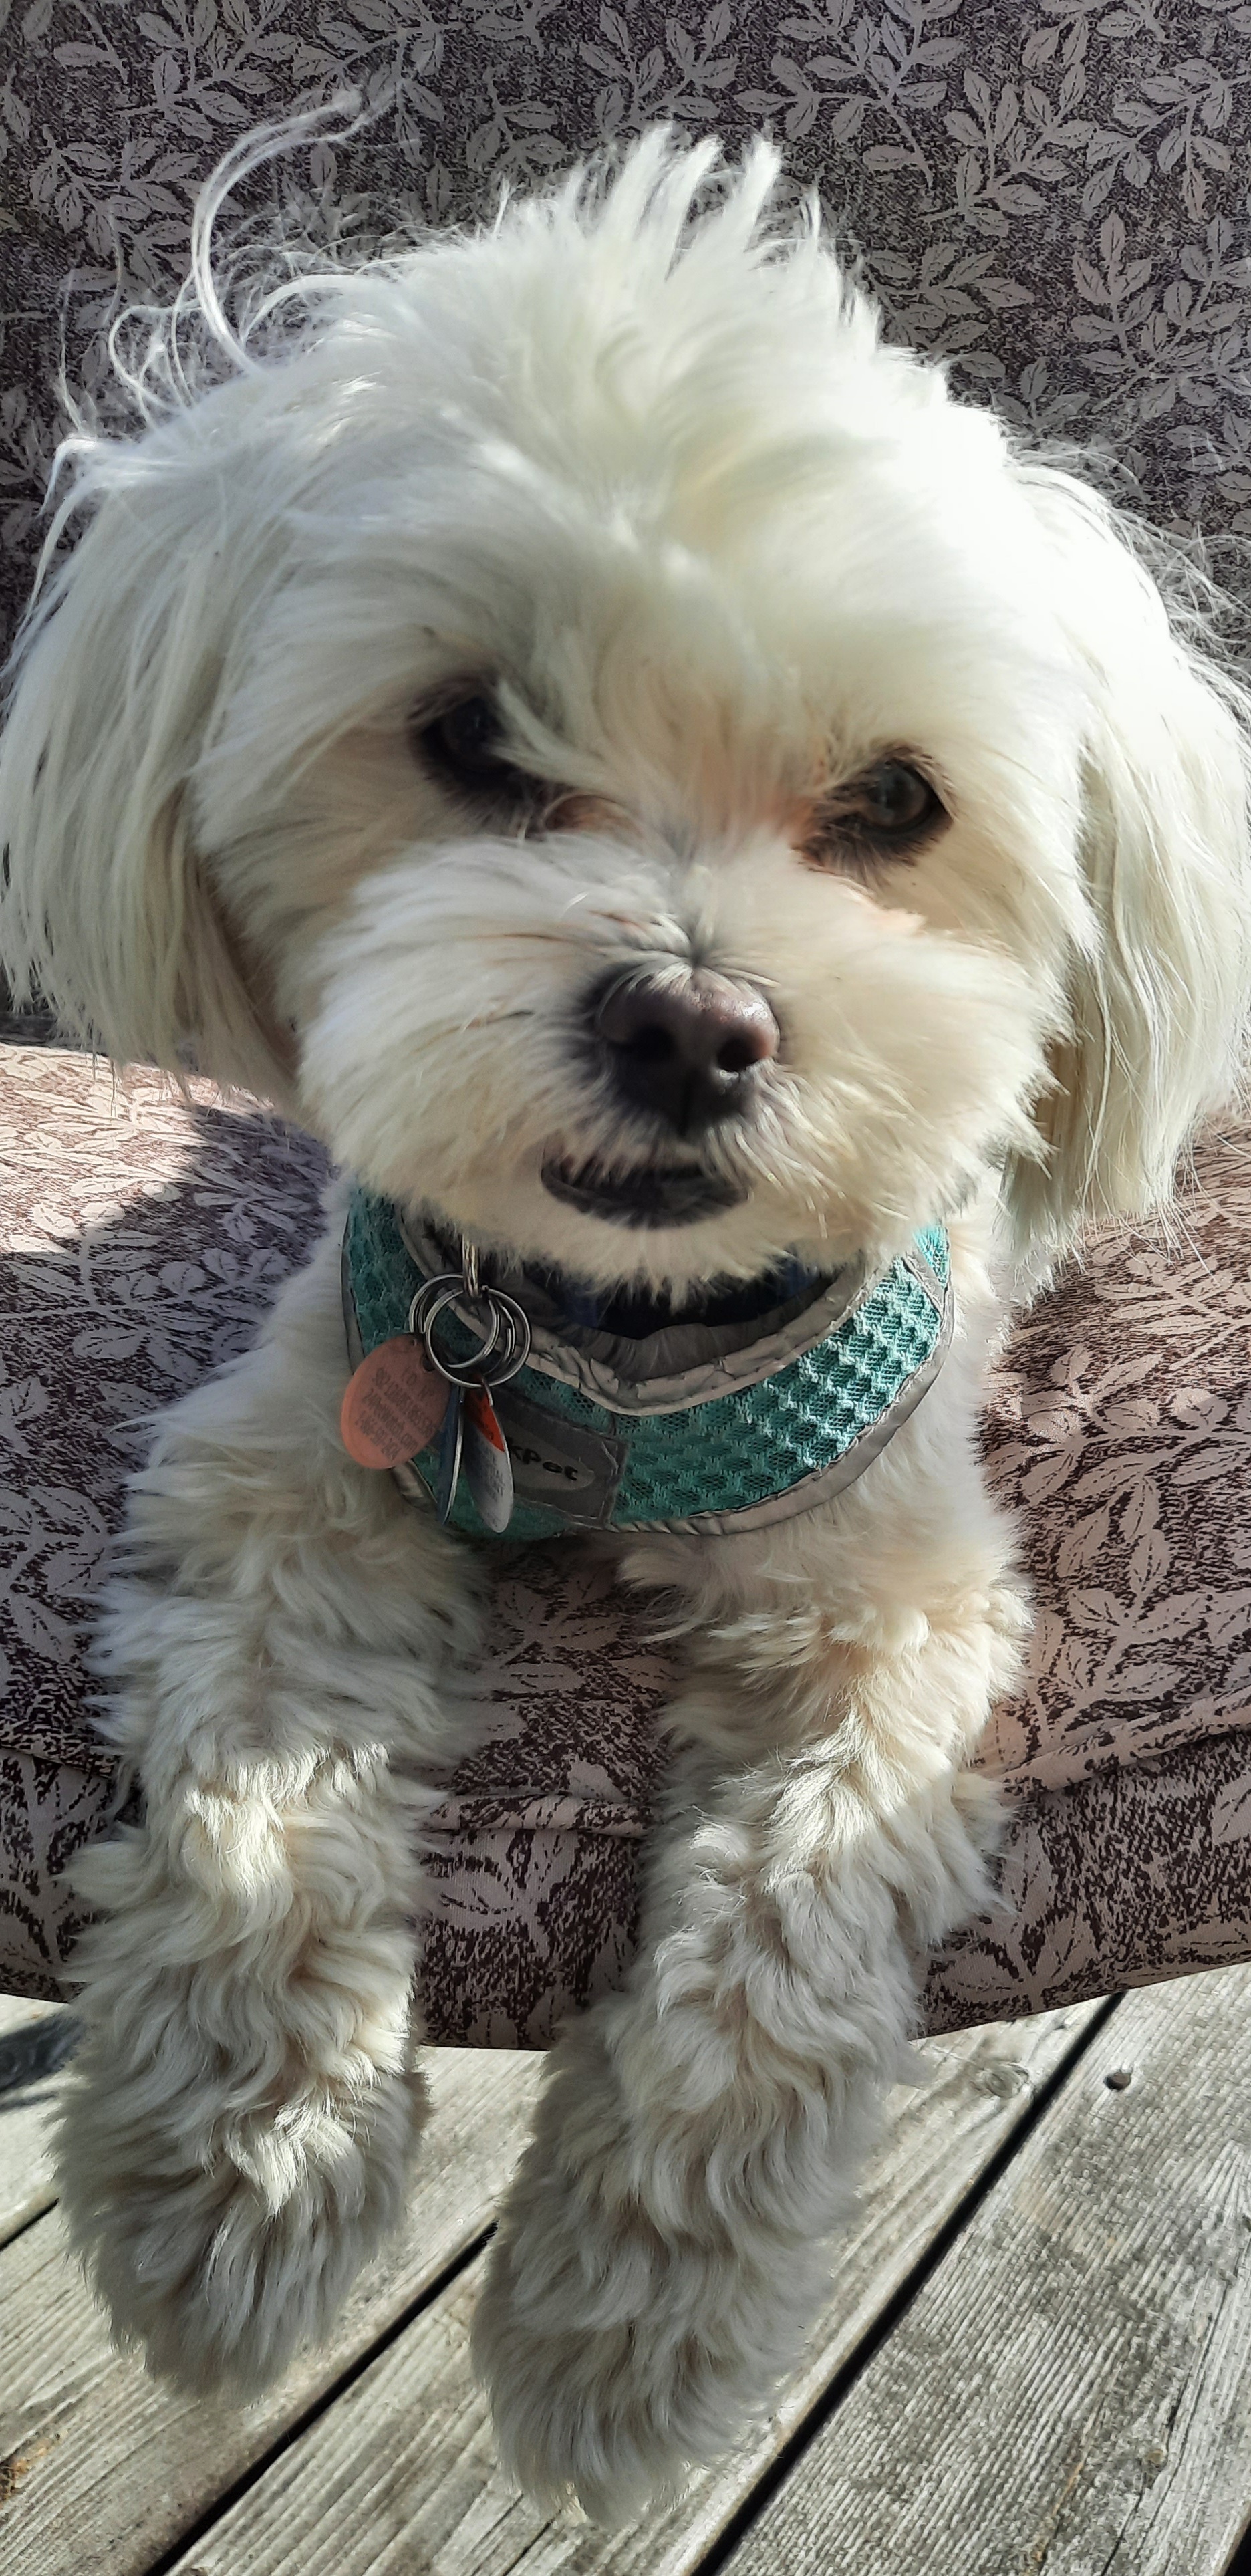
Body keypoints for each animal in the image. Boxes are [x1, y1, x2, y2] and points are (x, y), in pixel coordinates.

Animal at [1, 128, 1248, 2525]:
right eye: (467, 736)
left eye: (894, 800)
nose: (689, 1019)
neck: (610, 1344)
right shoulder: (296, 1454)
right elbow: (262, 1783)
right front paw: (247, 2168)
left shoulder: (892, 1597)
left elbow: (775, 1927)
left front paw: (624, 2327)